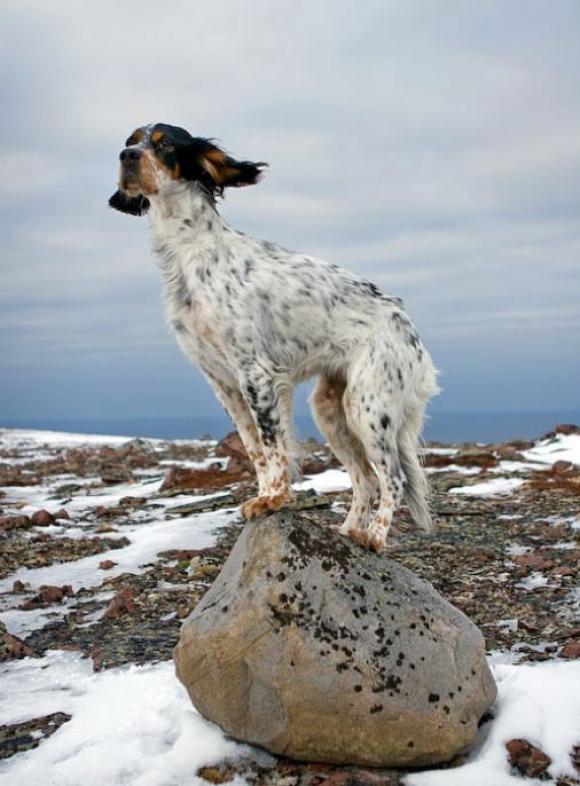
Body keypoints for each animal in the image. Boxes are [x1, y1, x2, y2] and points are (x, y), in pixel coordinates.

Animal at [109, 122, 438, 552]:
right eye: (131, 141)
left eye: (164, 145)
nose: (127, 156)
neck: (190, 251)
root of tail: (408, 326)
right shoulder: (224, 382)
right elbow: (255, 448)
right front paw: (266, 494)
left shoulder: (256, 374)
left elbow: (272, 444)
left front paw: (275, 499)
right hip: (330, 409)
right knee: (365, 478)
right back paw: (348, 532)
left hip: (368, 407)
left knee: (393, 478)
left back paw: (373, 537)